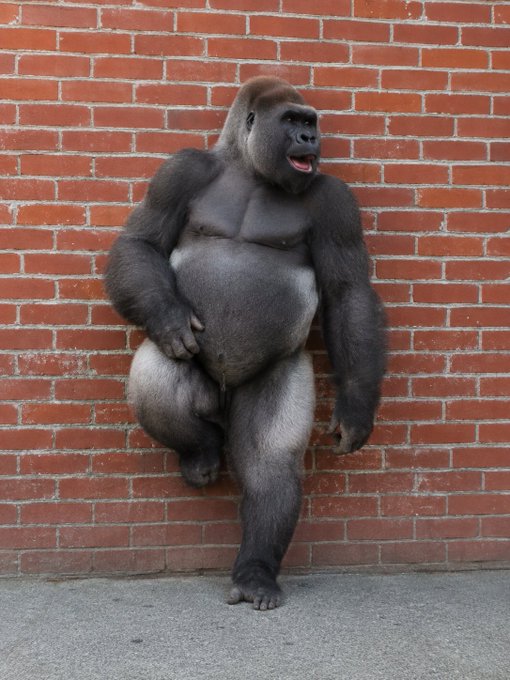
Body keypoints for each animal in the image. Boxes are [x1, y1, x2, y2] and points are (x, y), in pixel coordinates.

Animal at [105, 77, 386, 610]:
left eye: (308, 122)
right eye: (292, 122)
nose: (309, 140)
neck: (248, 167)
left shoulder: (337, 202)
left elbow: (347, 295)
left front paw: (357, 406)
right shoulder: (179, 171)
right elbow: (141, 243)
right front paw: (168, 317)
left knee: (268, 460)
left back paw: (255, 571)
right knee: (161, 381)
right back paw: (201, 450)